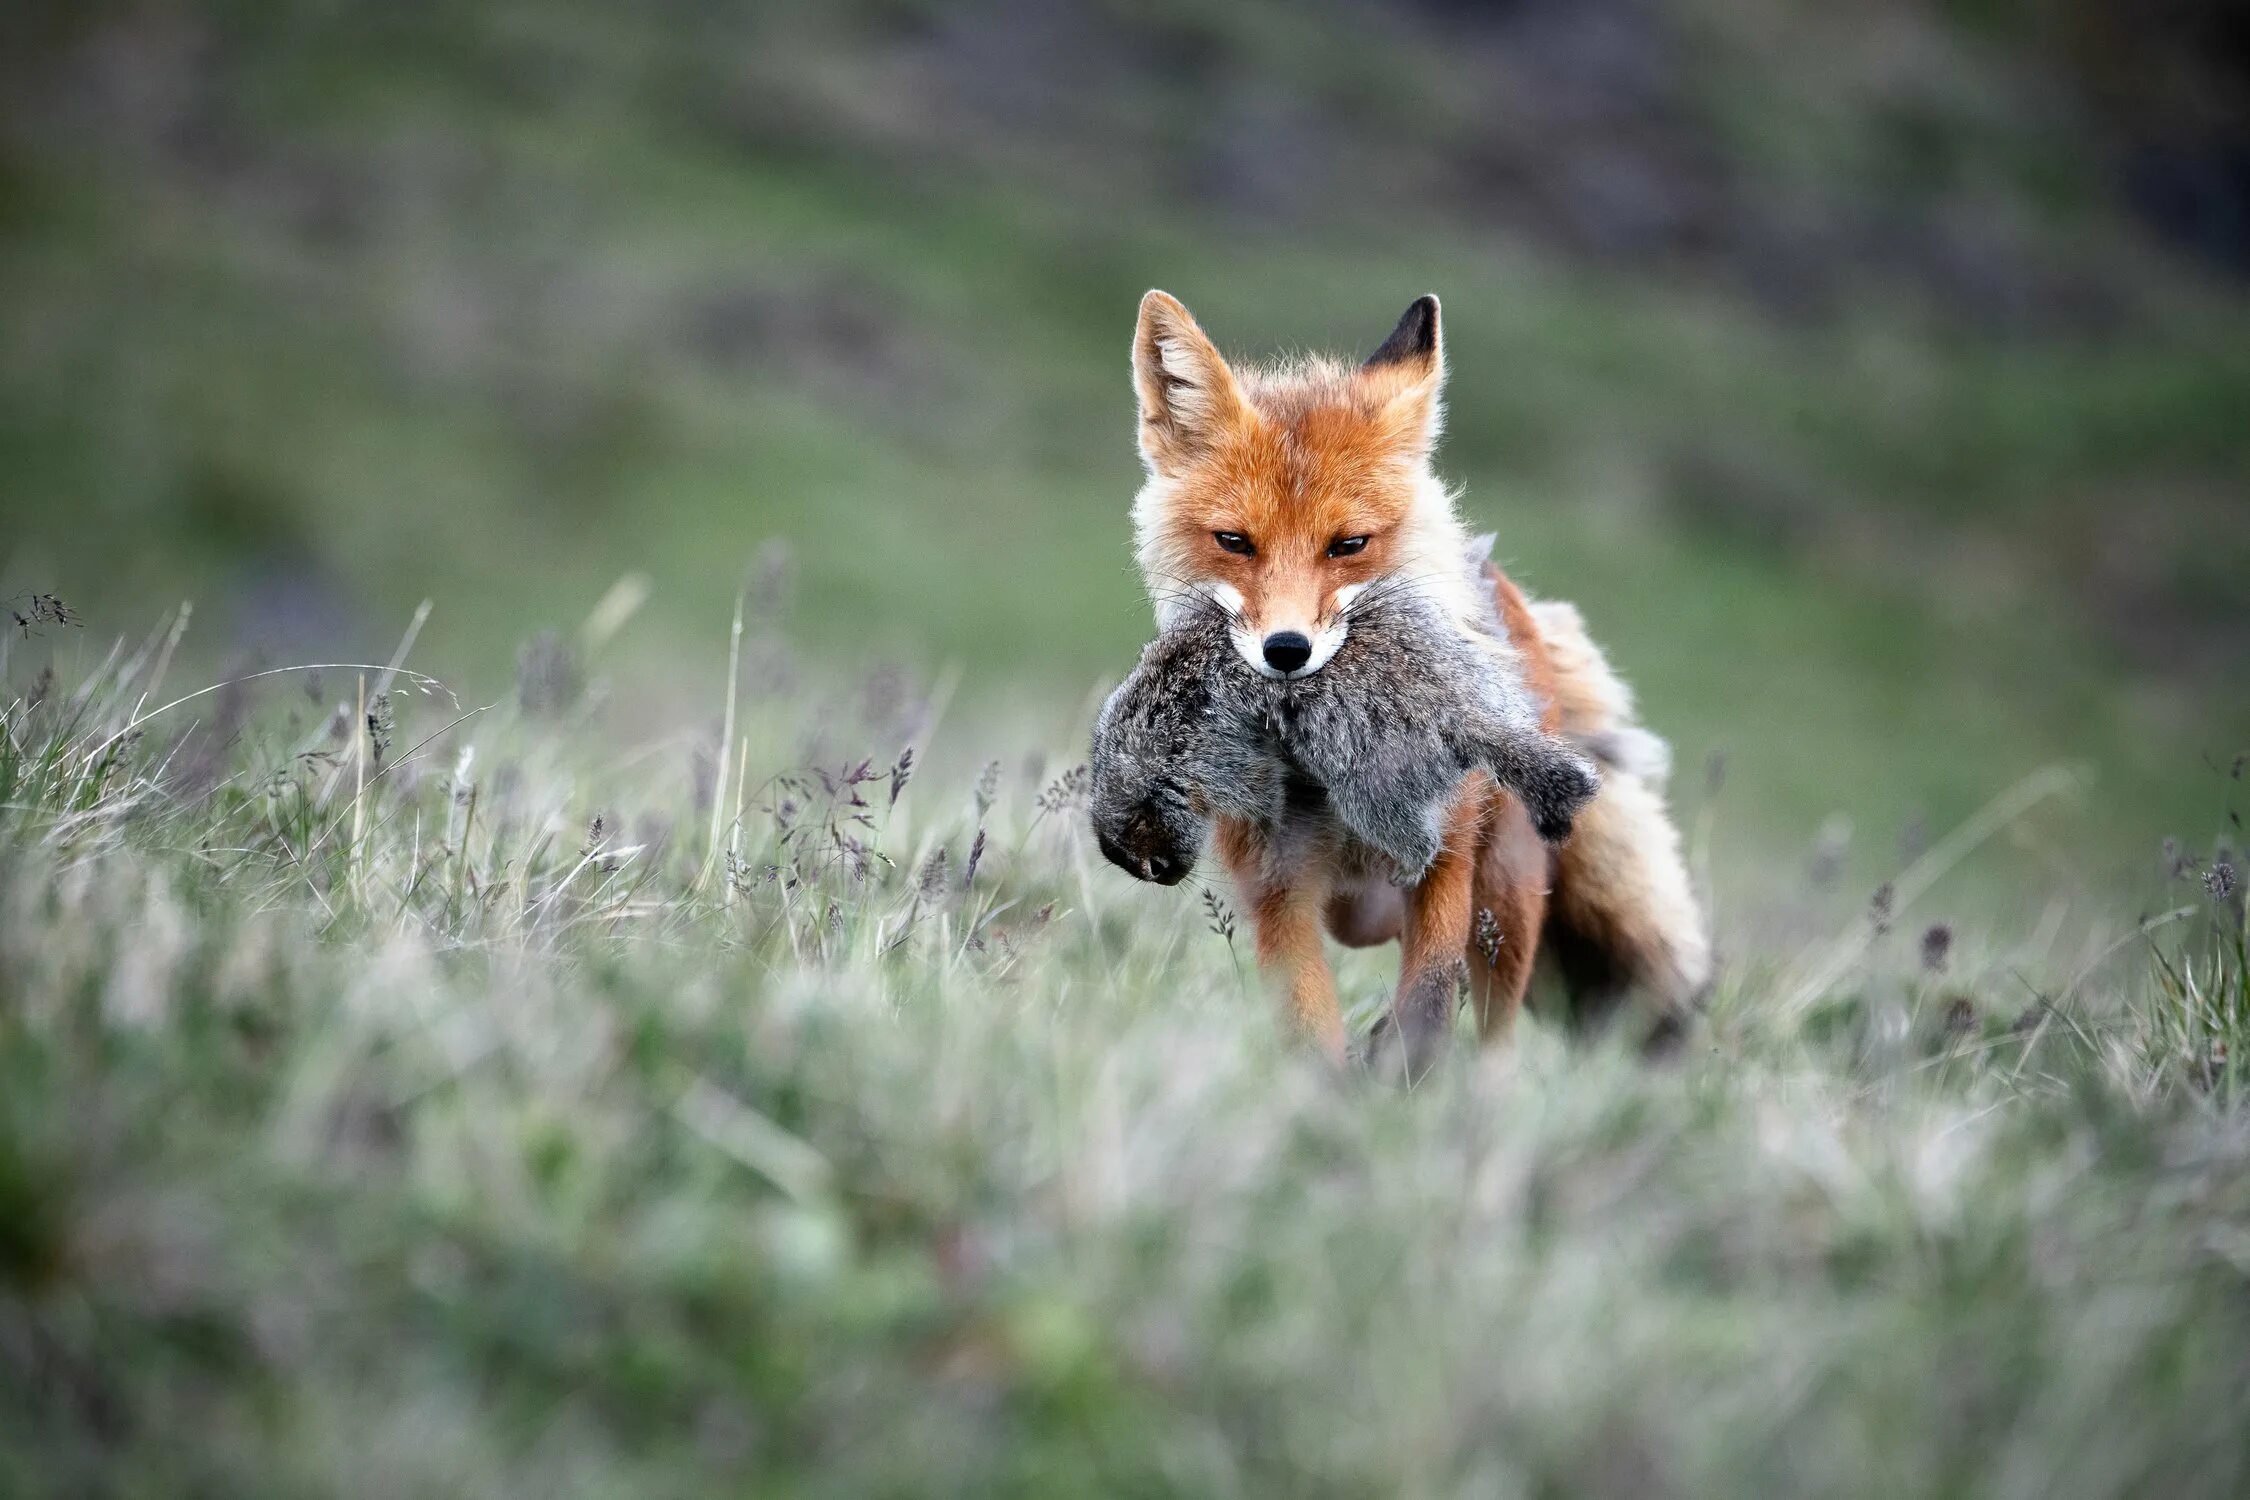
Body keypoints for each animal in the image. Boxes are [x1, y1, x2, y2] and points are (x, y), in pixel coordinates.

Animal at [1116, 290, 1710, 1065]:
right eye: (1234, 542)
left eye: (1348, 545)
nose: (1286, 651)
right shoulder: (1279, 888)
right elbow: (1311, 1026)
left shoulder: (1445, 858)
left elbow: (1429, 991)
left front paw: (1408, 1069)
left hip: (1507, 894)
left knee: (1494, 1031)